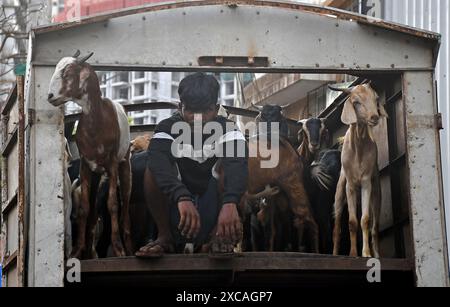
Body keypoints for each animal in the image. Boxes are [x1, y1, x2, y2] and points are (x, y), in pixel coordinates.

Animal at [49, 51, 134, 260]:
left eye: (67, 73)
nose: (50, 96)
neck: (98, 122)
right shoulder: (86, 166)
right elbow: (84, 208)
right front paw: (77, 250)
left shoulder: (112, 164)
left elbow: (113, 204)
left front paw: (119, 249)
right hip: (97, 175)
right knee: (94, 209)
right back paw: (90, 251)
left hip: (124, 164)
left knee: (125, 202)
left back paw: (128, 248)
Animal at [326, 83, 386, 258]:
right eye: (356, 102)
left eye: (376, 98)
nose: (374, 117)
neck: (358, 150)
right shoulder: (350, 186)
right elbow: (352, 221)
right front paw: (353, 254)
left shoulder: (366, 183)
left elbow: (365, 219)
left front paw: (366, 253)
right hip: (339, 192)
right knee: (336, 227)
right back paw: (335, 254)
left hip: (377, 192)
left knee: (375, 225)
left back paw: (377, 254)